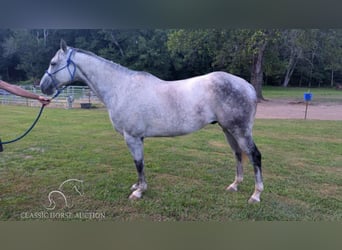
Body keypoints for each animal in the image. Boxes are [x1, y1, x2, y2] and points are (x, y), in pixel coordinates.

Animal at [40, 40, 264, 203]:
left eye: (53, 63)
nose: (43, 86)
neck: (121, 87)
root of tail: (247, 86)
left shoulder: (132, 137)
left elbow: (138, 163)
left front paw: (139, 192)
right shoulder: (138, 138)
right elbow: (140, 164)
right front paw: (138, 186)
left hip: (240, 131)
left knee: (254, 156)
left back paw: (255, 195)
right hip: (228, 130)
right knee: (238, 154)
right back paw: (234, 185)